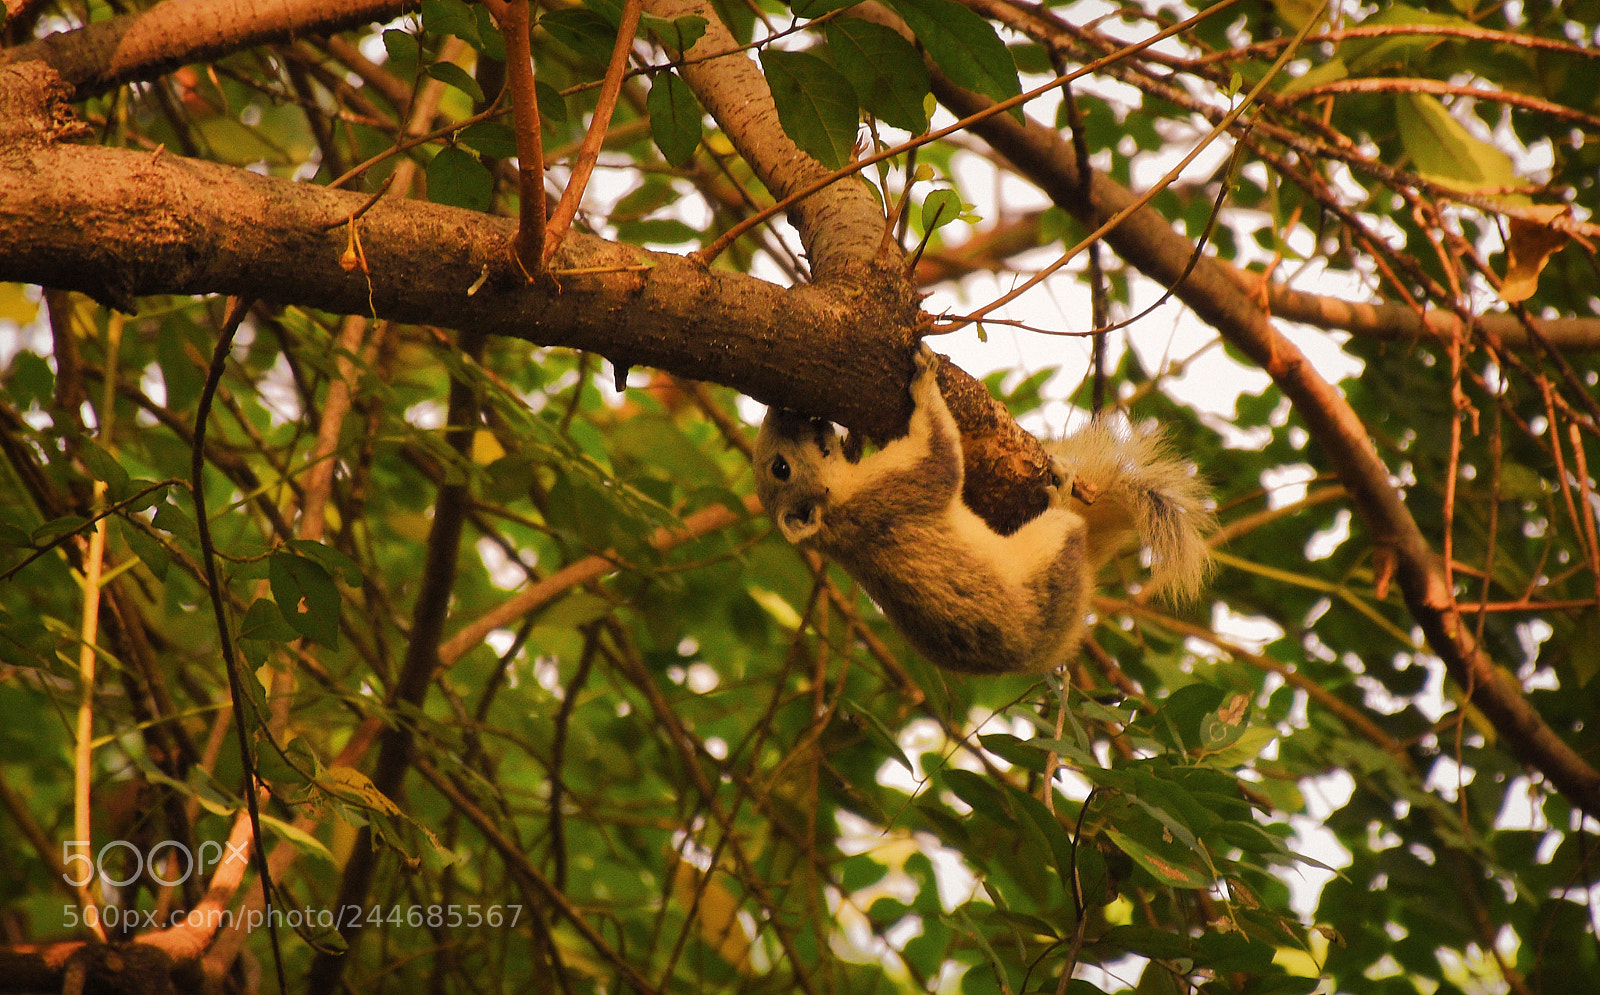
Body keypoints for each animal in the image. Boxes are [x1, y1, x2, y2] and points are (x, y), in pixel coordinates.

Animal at [752, 342, 1214, 675]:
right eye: (781, 468)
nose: (781, 409)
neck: (835, 513)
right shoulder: (899, 489)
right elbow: (941, 451)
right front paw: (925, 377)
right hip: (1052, 550)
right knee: (1066, 524)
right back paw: (1063, 495)